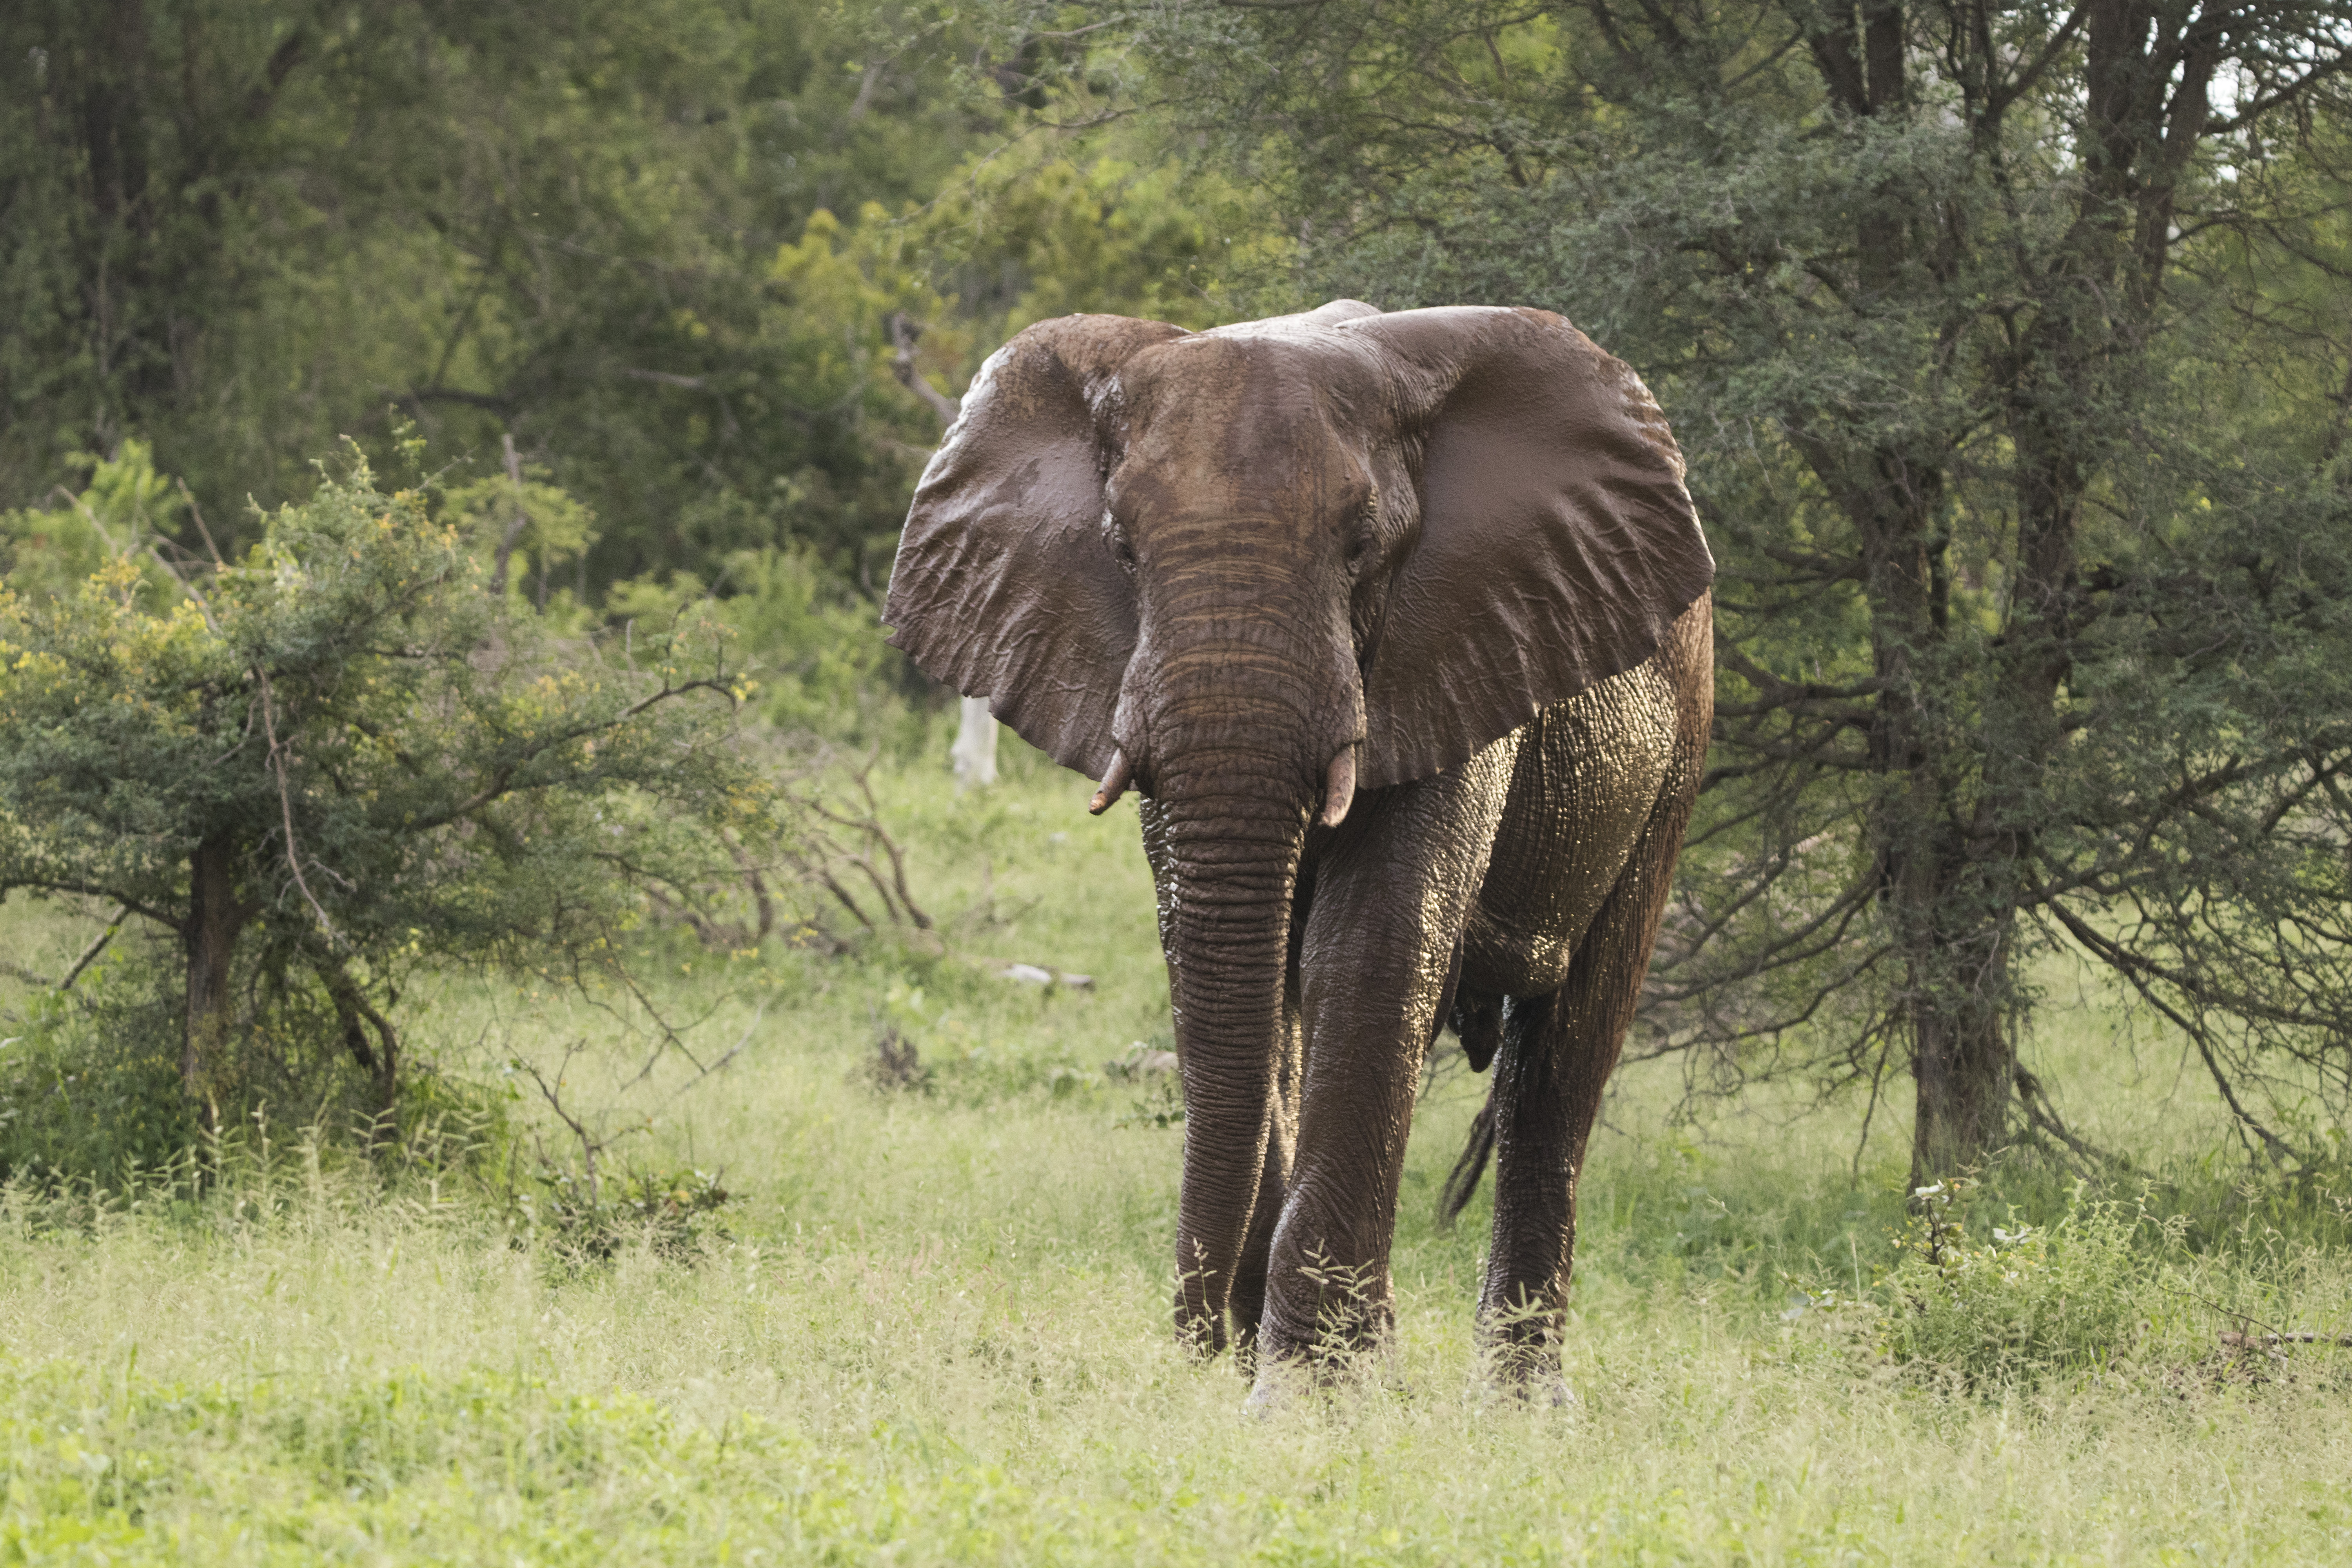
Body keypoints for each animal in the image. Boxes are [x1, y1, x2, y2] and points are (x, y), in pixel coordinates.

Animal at [882, 299, 1713, 1392]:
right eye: (1121, 547)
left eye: (1361, 546)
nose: (1194, 1347)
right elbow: (1223, 957)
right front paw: (1297, 1371)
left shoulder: (1450, 644)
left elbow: (1367, 953)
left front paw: (1304, 1396)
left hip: (1679, 747)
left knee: (1564, 1062)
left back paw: (1521, 1406)